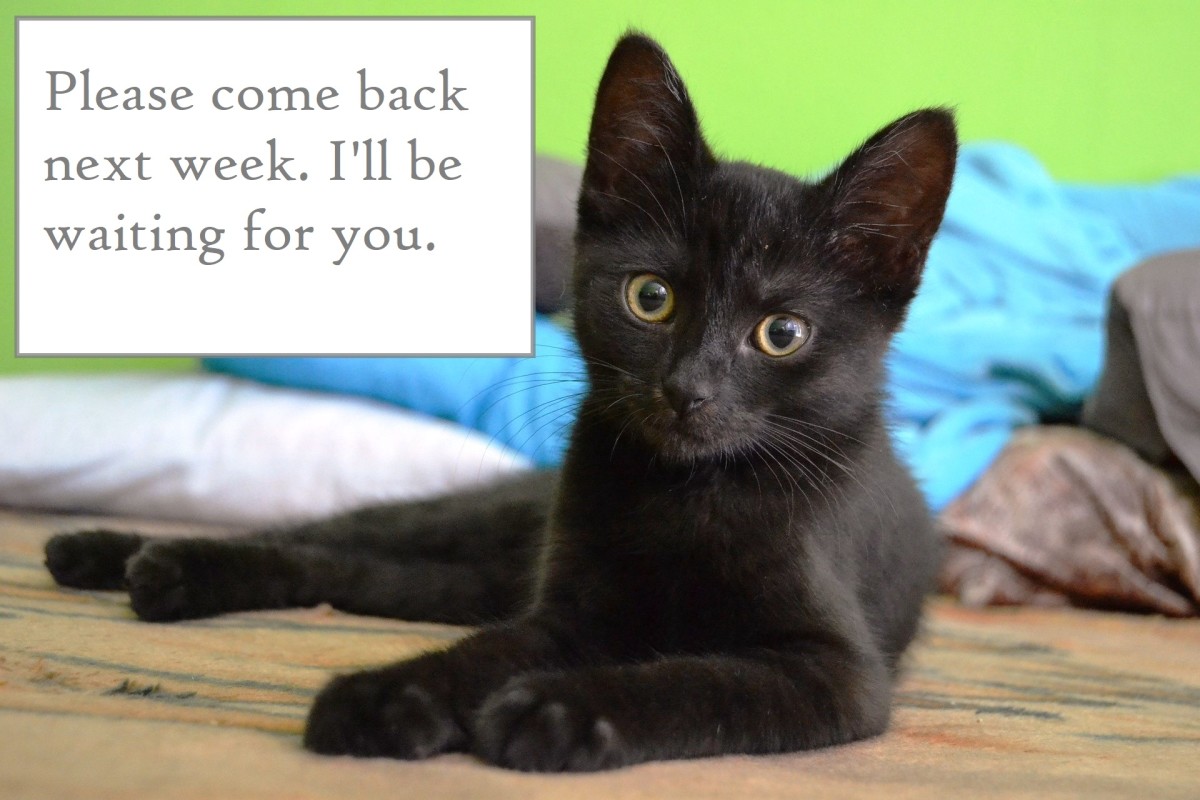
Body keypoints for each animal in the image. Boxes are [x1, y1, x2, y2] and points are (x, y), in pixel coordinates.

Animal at [44, 33, 955, 771]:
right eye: (651, 298)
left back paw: (151, 572)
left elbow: (702, 682)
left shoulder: (836, 671)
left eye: (782, 333)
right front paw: (389, 695)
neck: (687, 494)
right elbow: (482, 655)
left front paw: (558, 710)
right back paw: (120, 554)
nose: (687, 391)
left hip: (455, 580)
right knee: (330, 537)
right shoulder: (570, 613)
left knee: (358, 572)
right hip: (468, 525)